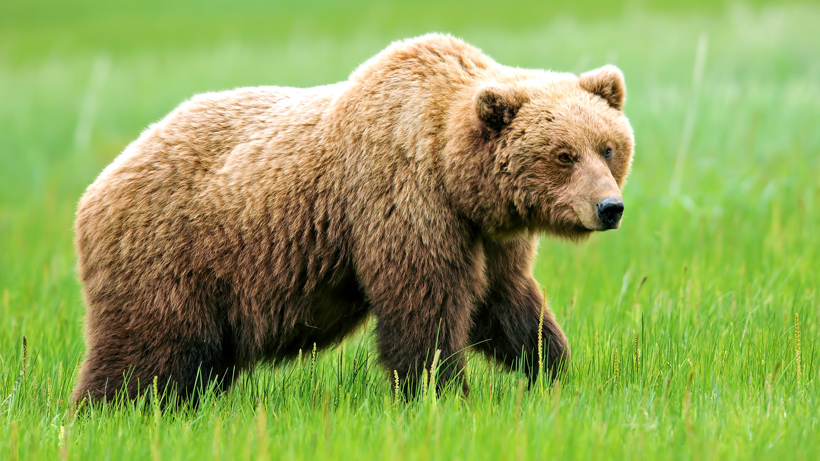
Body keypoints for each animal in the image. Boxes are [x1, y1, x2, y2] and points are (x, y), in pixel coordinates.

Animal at [72, 33, 634, 403]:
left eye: (607, 147)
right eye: (563, 155)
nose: (609, 208)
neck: (452, 171)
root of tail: (98, 183)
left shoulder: (488, 234)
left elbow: (506, 300)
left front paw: (550, 366)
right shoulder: (402, 198)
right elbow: (424, 304)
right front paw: (442, 392)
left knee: (201, 361)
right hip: (170, 254)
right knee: (146, 349)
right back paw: (107, 407)